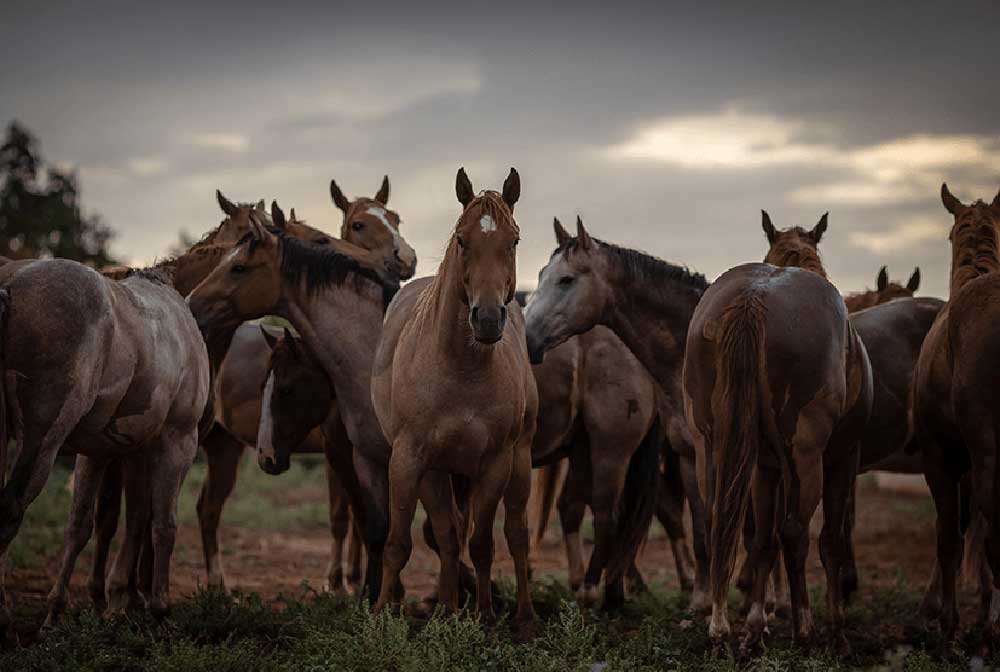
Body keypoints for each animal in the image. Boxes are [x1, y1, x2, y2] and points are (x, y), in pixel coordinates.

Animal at [0, 253, 209, 624]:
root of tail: (11, 282)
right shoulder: (178, 443)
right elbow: (163, 525)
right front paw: (158, 608)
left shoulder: (108, 453)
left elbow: (90, 523)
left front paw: (66, 608)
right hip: (41, 441)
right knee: (10, 510)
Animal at [370, 168, 540, 632]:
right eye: (462, 240)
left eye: (514, 240)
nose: (487, 318)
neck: (461, 369)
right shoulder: (408, 461)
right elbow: (399, 542)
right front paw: (381, 615)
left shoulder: (496, 463)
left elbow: (483, 543)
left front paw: (484, 615)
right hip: (436, 473)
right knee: (448, 534)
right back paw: (446, 610)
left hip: (519, 462)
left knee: (515, 534)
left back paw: (523, 617)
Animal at [524, 217, 712, 608]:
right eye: (540, 275)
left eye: (566, 279)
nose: (527, 339)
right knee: (584, 509)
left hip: (611, 448)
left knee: (608, 514)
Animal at [684, 214, 872, 652]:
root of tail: (754, 298)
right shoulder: (843, 457)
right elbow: (830, 539)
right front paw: (834, 622)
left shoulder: (765, 467)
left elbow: (760, 539)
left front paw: (757, 620)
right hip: (806, 460)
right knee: (796, 533)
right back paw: (804, 627)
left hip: (713, 447)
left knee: (722, 521)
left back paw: (722, 627)